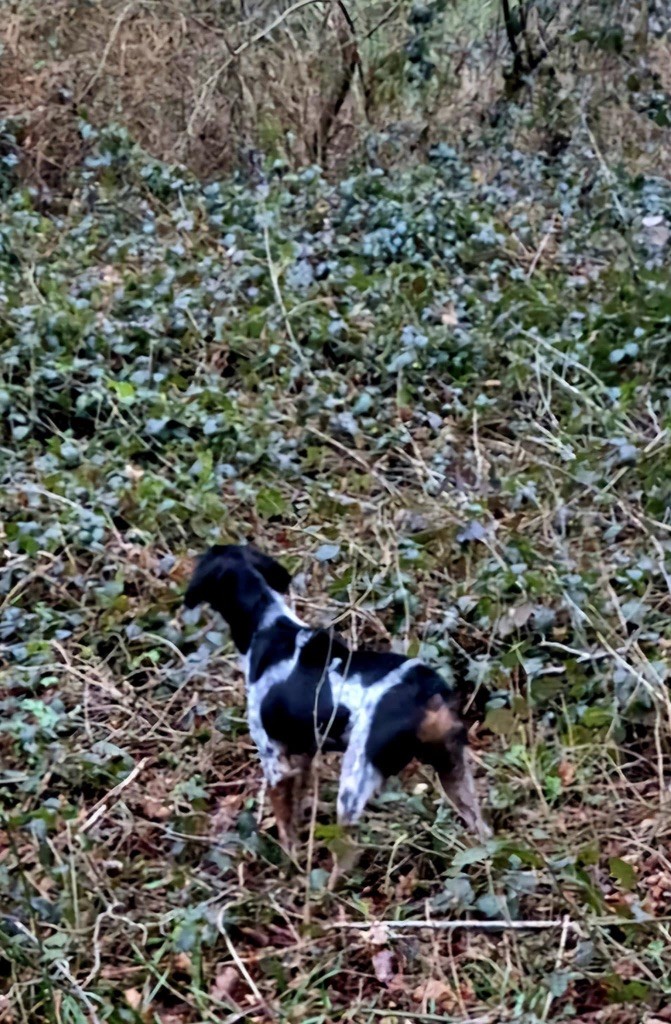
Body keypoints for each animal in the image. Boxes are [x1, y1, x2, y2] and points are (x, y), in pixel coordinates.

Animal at [186, 544, 491, 847]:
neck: (268, 625)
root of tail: (426, 690)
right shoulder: (304, 756)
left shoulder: (274, 762)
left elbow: (287, 833)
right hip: (454, 771)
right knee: (483, 832)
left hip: (353, 788)